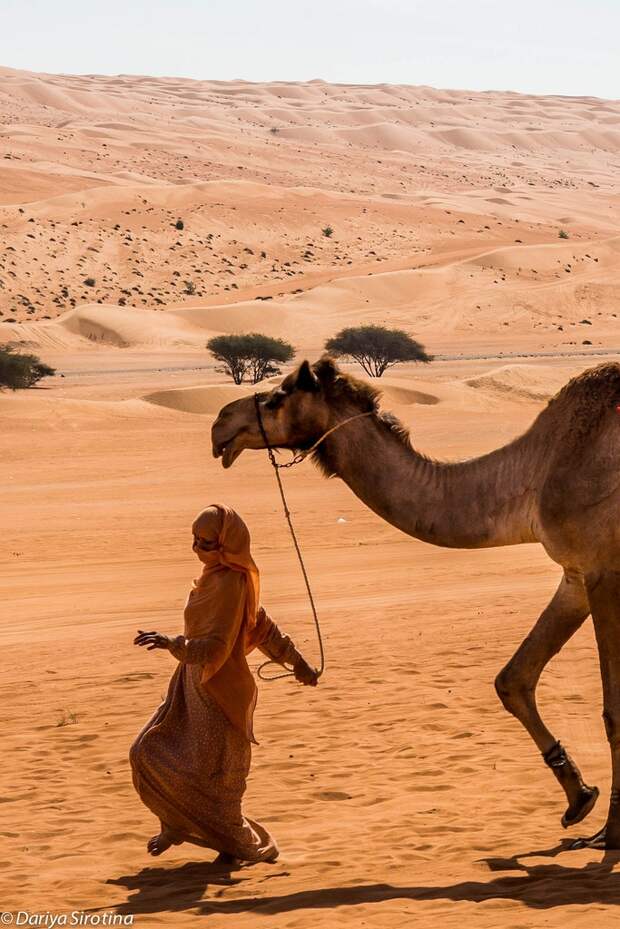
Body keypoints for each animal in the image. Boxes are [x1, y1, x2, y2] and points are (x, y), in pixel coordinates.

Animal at [211, 356, 620, 848]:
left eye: (277, 397)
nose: (219, 424)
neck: (535, 472)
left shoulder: (604, 571)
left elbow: (615, 711)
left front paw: (613, 833)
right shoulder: (576, 575)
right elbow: (512, 680)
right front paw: (580, 800)